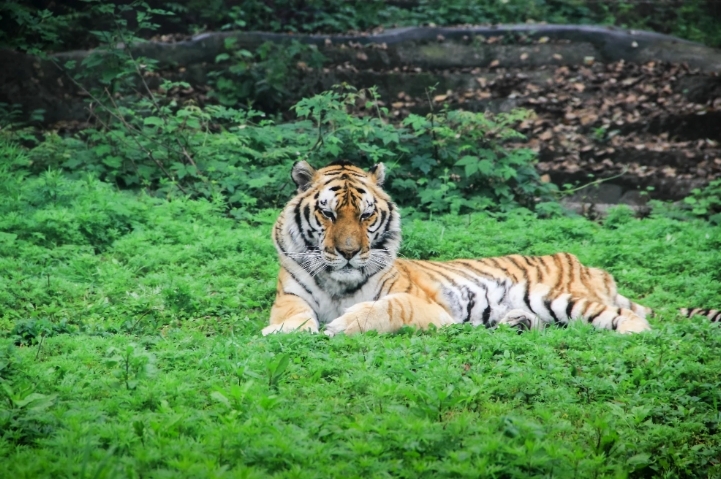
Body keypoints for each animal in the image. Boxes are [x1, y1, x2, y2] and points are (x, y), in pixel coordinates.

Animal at [262, 159, 716, 336]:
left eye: (366, 216)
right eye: (328, 214)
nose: (349, 253)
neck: (339, 282)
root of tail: (592, 269)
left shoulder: (424, 305)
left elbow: (386, 307)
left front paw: (341, 325)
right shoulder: (291, 295)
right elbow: (292, 316)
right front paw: (284, 331)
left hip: (563, 298)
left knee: (632, 322)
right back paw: (516, 324)